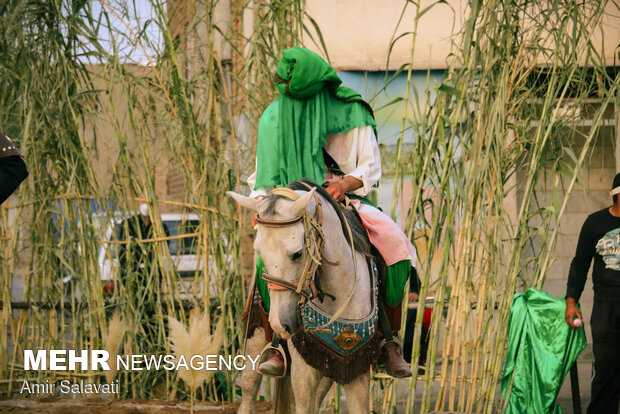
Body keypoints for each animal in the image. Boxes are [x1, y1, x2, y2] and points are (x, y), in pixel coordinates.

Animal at [228, 184, 372, 414]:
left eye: (297, 253)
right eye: (260, 253)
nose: (280, 324)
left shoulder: (356, 366)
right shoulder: (303, 372)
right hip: (255, 337)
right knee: (249, 392)